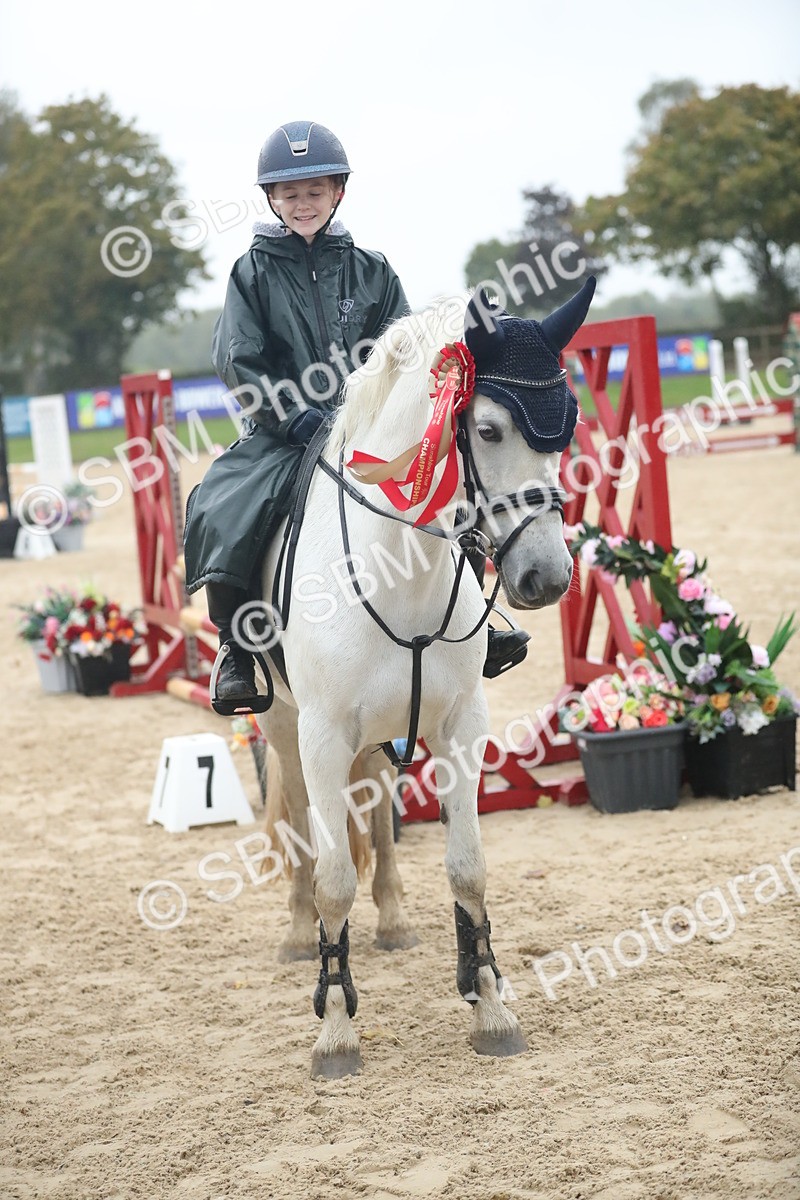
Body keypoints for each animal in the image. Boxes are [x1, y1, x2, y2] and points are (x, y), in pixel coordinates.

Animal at [257, 279, 595, 1078]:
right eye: (490, 430)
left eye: (565, 430)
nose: (546, 577)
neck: (398, 571)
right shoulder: (320, 735)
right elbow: (331, 876)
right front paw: (335, 1030)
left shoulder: (459, 724)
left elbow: (467, 866)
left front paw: (491, 1006)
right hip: (285, 726)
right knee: (299, 823)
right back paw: (298, 933)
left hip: (384, 735)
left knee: (377, 810)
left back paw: (394, 919)